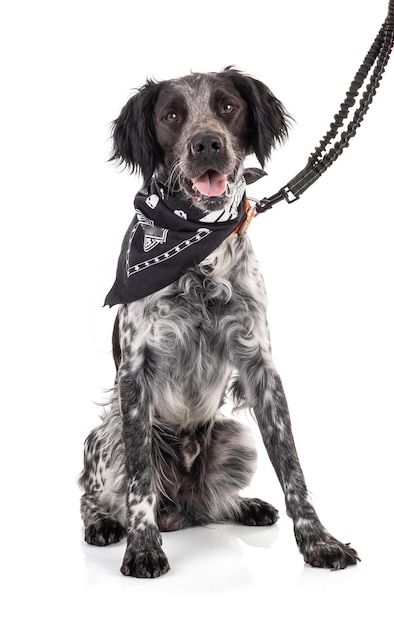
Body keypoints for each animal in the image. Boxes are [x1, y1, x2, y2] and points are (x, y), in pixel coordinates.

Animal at [80, 67, 360, 576]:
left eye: (228, 106)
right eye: (172, 115)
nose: (207, 143)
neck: (196, 250)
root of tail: (180, 510)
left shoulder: (259, 364)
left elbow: (292, 466)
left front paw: (318, 541)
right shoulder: (134, 372)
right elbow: (140, 480)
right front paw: (142, 548)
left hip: (235, 437)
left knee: (211, 506)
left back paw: (246, 506)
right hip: (105, 437)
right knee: (93, 494)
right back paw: (104, 523)